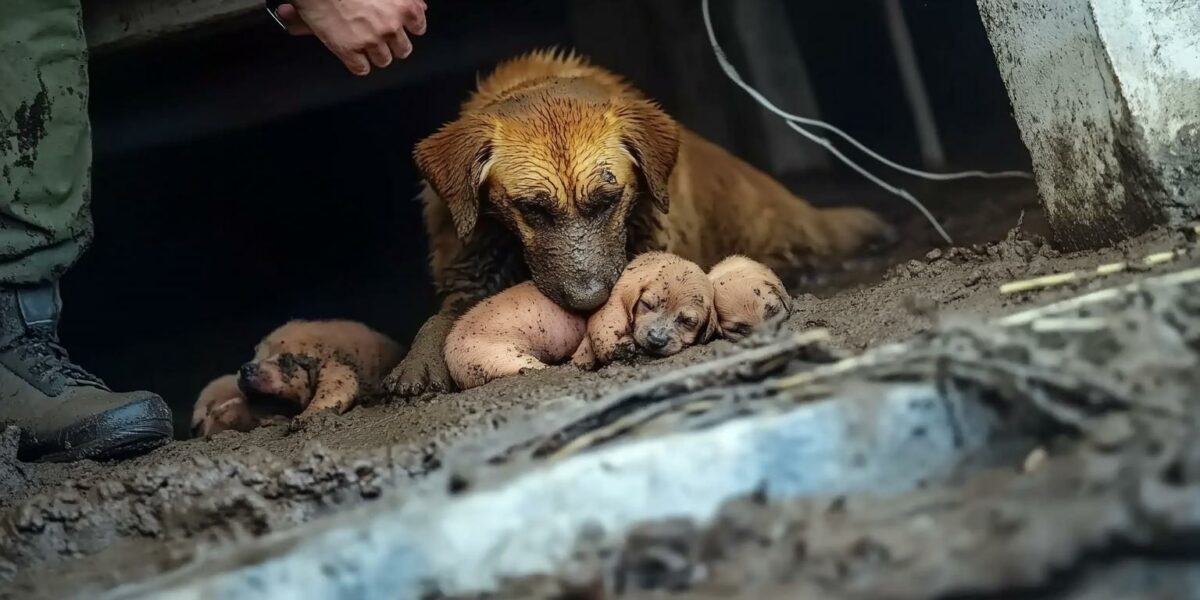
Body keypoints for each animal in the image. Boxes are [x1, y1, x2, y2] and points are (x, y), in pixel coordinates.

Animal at [236, 319, 405, 417]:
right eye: (255, 353)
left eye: (285, 360)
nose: (245, 368)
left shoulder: (337, 366)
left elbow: (337, 386)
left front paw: (301, 420)